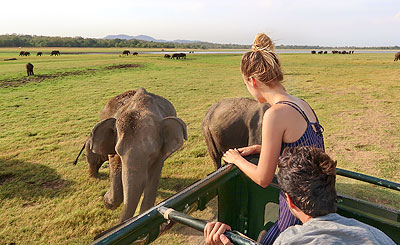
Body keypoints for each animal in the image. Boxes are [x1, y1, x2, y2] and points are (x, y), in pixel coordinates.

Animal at [75, 87, 188, 222]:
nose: (105, 197)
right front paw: (107, 200)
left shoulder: (160, 155)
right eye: (119, 151)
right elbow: (115, 166)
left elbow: (153, 177)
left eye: (152, 154)